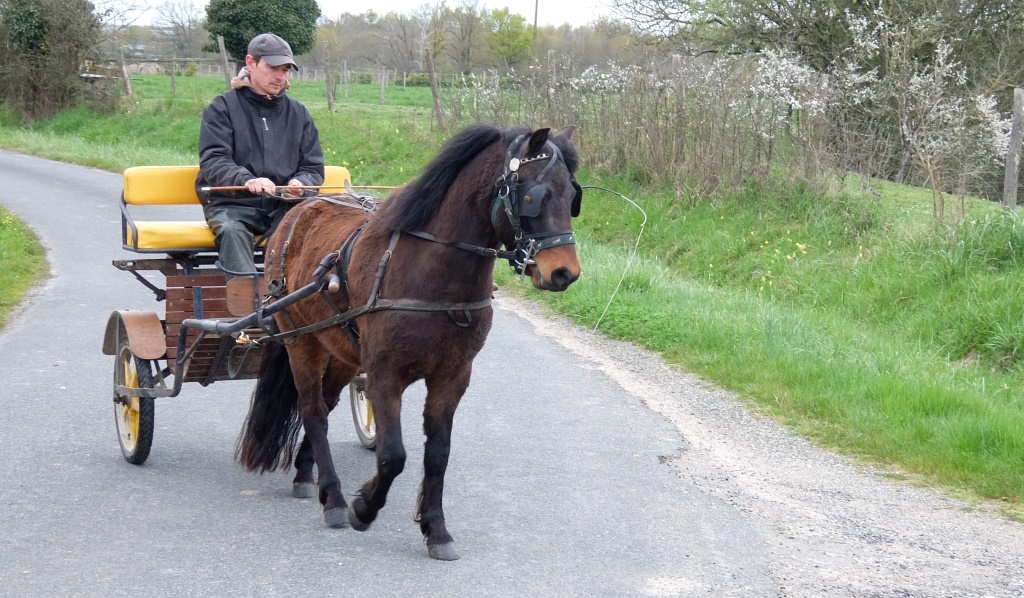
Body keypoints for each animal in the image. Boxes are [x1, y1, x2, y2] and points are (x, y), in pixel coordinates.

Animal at [234, 123, 581, 557]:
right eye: (535, 196)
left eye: (573, 196)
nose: (565, 272)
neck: (433, 276)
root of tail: (297, 211)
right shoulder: (385, 374)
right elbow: (393, 455)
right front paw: (363, 508)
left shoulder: (453, 376)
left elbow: (438, 454)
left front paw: (437, 529)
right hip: (301, 340)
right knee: (313, 411)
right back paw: (334, 498)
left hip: (343, 352)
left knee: (325, 406)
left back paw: (304, 473)